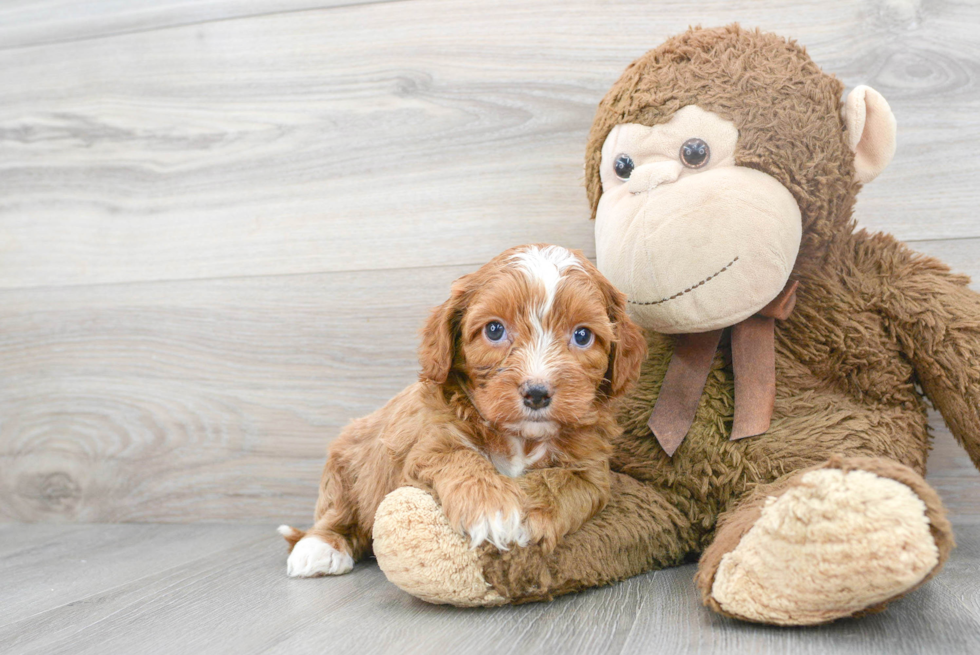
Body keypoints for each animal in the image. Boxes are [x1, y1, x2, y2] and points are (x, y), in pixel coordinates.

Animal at [278, 243, 644, 576]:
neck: (521, 438)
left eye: (582, 336)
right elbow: (461, 458)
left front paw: (524, 515)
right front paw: (492, 510)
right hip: (344, 468)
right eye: (494, 329)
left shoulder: (590, 471)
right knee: (338, 512)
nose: (537, 394)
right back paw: (319, 547)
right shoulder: (429, 443)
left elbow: (558, 481)